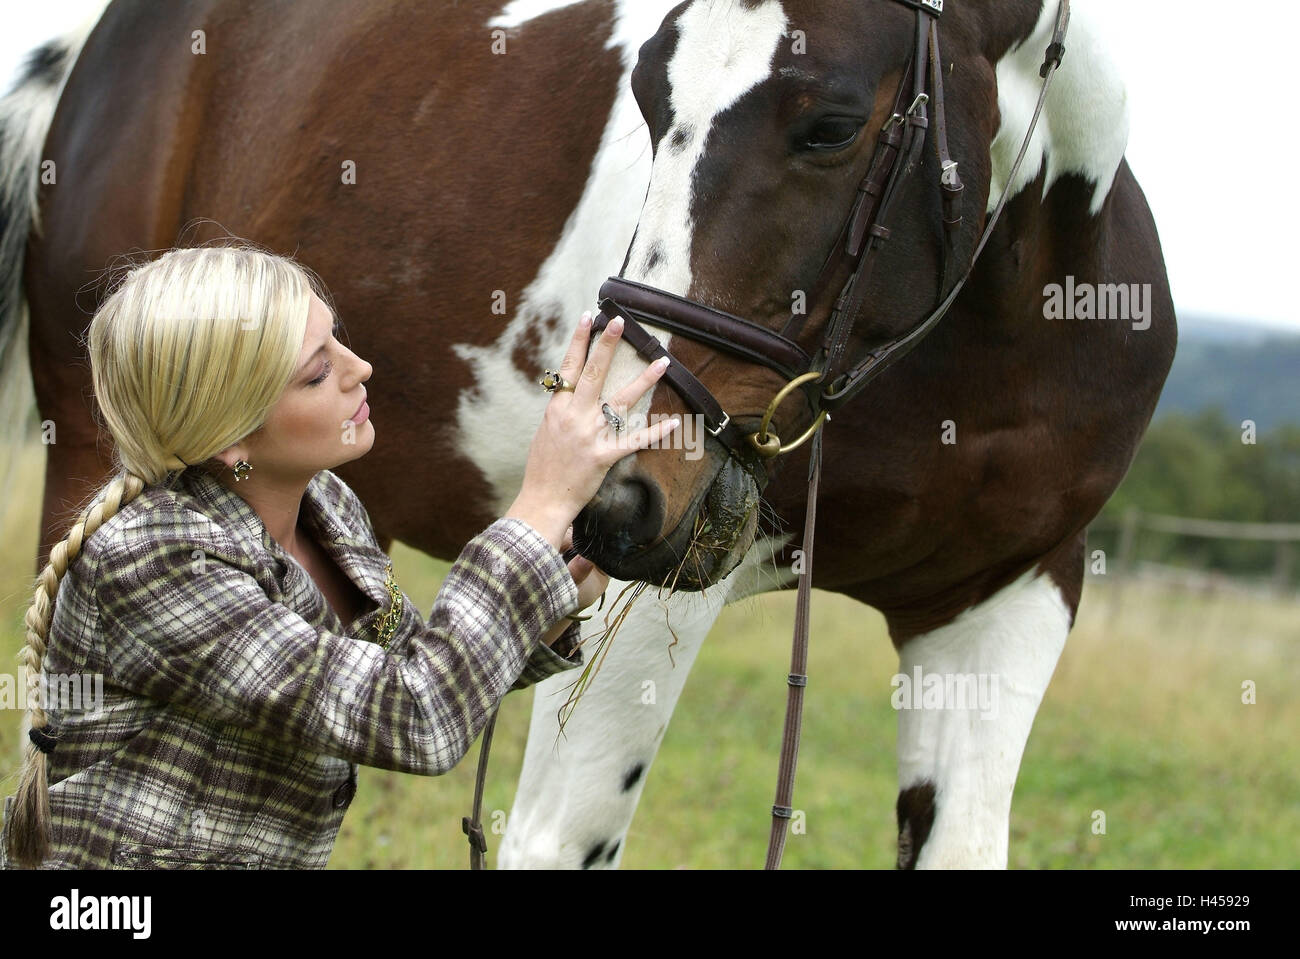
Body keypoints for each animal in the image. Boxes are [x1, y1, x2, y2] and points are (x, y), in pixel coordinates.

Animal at [0, 0, 1175, 868]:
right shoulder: (643, 606)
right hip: (97, 454)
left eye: (832, 125)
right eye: (649, 95)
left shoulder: (1002, 604)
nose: (618, 491)